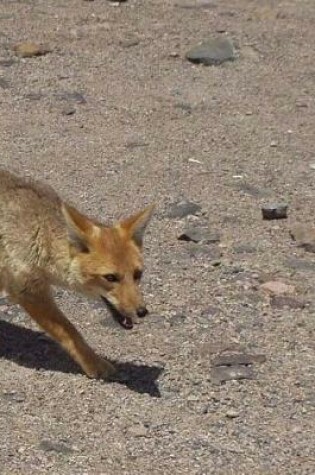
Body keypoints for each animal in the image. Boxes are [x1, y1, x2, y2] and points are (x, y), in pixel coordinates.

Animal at [0, 169, 156, 382]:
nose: (142, 311)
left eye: (138, 274)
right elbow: (69, 331)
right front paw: (95, 364)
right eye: (110, 278)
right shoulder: (28, 290)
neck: (37, 231)